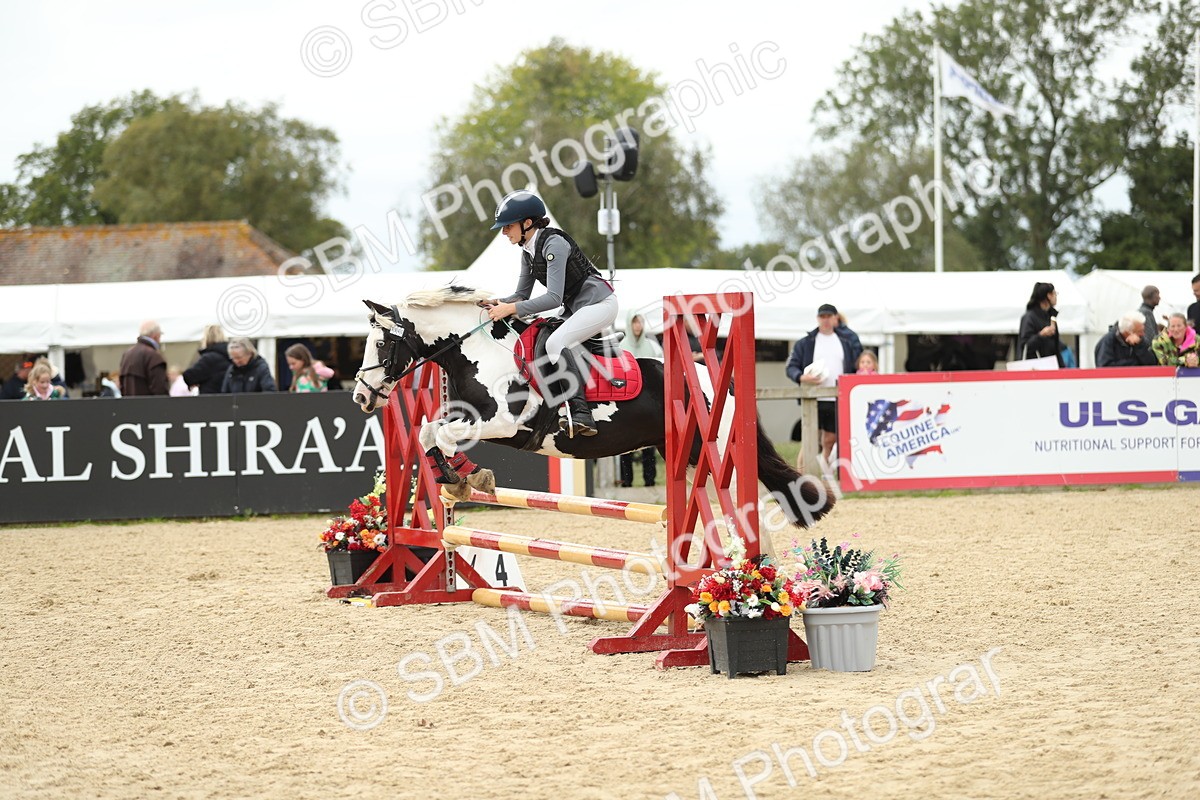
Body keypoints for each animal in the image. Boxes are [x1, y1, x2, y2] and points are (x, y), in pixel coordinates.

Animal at [352, 285, 834, 530]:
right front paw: (458, 480)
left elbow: (442, 433)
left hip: (709, 451)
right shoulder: (465, 416)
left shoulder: (504, 421)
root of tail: (717, 381)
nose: (360, 396)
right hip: (685, 451)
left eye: (381, 343)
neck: (479, 351)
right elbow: (427, 432)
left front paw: (467, 477)